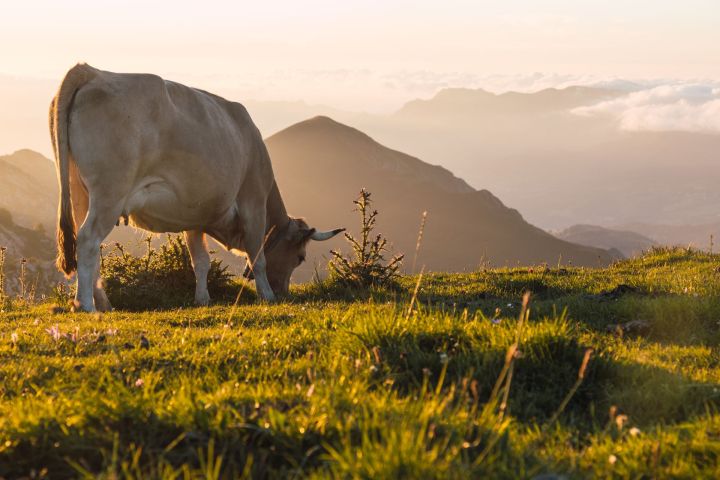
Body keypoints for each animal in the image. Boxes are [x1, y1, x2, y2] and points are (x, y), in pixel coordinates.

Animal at [49, 63, 344, 312]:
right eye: (300, 257)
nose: (285, 293)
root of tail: (93, 71)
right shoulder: (254, 200)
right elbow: (257, 256)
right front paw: (267, 295)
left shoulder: (194, 215)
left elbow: (200, 261)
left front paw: (202, 298)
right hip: (110, 192)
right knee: (88, 239)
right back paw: (85, 304)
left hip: (80, 193)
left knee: (89, 245)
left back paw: (104, 303)